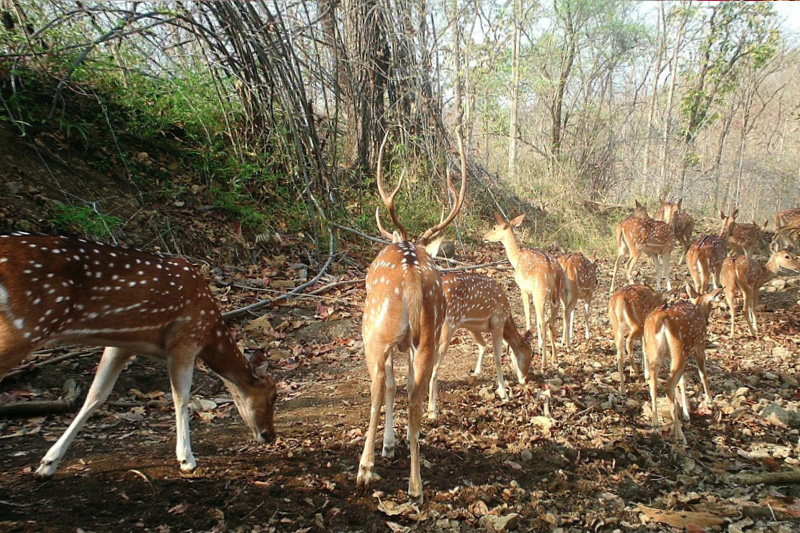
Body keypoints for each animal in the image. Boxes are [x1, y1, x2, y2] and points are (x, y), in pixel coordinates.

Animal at [0, 233, 278, 478]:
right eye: (273, 395)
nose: (270, 435)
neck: (210, 331)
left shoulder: (121, 345)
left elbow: (96, 395)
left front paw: (47, 464)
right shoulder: (185, 339)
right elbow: (181, 397)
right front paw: (187, 460)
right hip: (24, 327)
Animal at [356, 130, 468, 502]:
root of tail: (411, 276)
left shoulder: (388, 342)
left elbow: (391, 385)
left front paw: (389, 445)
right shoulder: (410, 344)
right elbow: (405, 385)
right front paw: (401, 440)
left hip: (374, 333)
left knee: (378, 388)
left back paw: (365, 470)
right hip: (429, 335)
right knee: (417, 397)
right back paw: (416, 487)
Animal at [428, 272, 536, 418]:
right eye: (532, 354)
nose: (526, 378)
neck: (507, 318)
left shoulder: (471, 326)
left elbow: (483, 345)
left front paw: (476, 374)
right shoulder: (497, 322)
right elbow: (497, 358)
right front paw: (504, 393)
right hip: (448, 324)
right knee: (434, 366)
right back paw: (432, 411)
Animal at [482, 214, 564, 372]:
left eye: (494, 227)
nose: (484, 236)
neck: (516, 258)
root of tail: (551, 269)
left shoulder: (523, 288)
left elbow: (527, 314)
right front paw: (538, 345)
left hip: (540, 293)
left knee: (543, 322)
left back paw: (544, 364)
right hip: (556, 295)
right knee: (550, 322)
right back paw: (555, 359)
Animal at [640, 284, 720, 442]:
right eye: (711, 305)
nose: (708, 321)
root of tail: (661, 318)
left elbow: (682, 381)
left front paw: (686, 414)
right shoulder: (699, 347)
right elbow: (703, 373)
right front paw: (710, 401)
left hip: (654, 351)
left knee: (653, 383)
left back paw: (655, 426)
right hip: (680, 350)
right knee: (669, 387)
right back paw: (679, 435)